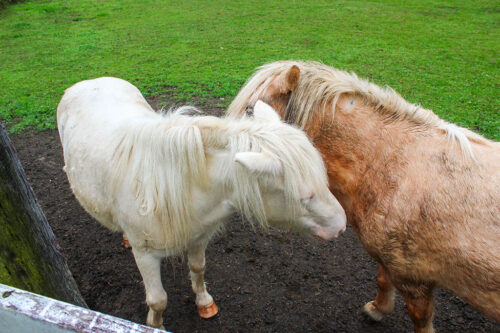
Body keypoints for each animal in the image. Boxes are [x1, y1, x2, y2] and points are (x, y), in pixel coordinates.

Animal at [56, 77, 348, 326]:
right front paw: (155, 324)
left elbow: (198, 268)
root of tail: (91, 81)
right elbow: (158, 300)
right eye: (304, 197)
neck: (184, 186)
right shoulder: (146, 254)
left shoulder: (199, 236)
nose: (342, 226)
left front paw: (204, 302)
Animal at [228, 60, 500, 332]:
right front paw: (378, 309)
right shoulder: (389, 261)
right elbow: (382, 279)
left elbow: (420, 318)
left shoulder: (413, 279)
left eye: (250, 110)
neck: (391, 163)